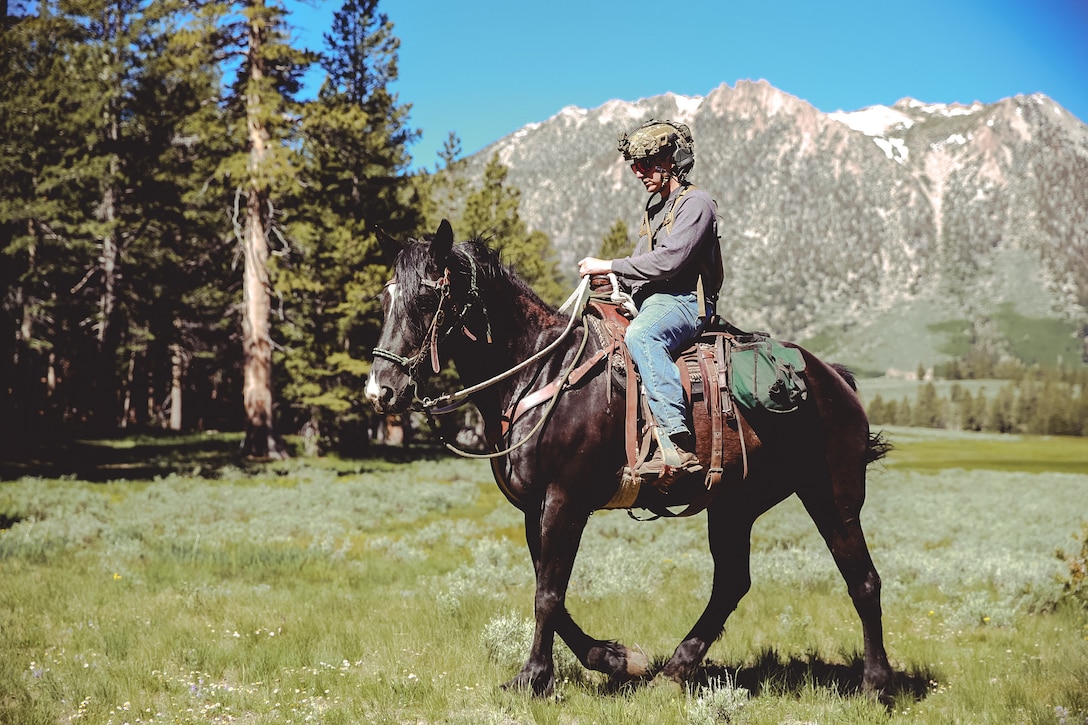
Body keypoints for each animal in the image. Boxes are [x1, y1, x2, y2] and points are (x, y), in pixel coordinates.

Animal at [365, 219, 894, 698]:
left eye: (427, 299)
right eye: (385, 300)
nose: (380, 391)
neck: (541, 371)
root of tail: (834, 378)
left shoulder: (565, 500)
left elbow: (548, 594)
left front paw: (533, 678)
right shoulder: (534, 507)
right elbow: (550, 591)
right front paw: (618, 659)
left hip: (833, 495)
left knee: (863, 580)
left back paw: (876, 685)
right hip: (734, 504)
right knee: (731, 584)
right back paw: (672, 673)